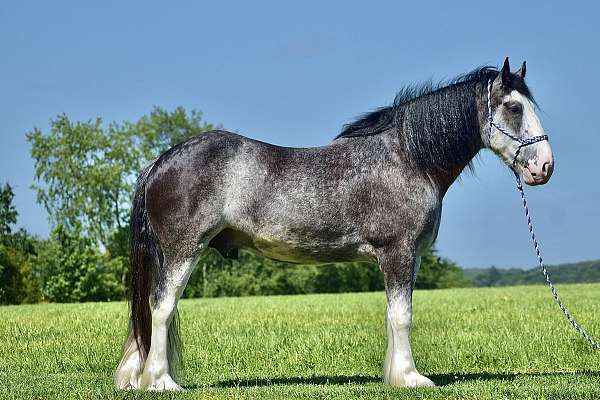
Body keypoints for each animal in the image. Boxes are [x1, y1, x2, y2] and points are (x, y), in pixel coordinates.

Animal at [115, 57, 556, 390]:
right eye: (514, 108)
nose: (544, 167)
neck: (409, 157)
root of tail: (162, 161)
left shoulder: (403, 259)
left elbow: (392, 315)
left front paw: (395, 376)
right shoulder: (397, 253)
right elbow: (403, 316)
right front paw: (412, 379)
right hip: (181, 252)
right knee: (162, 308)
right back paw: (161, 382)